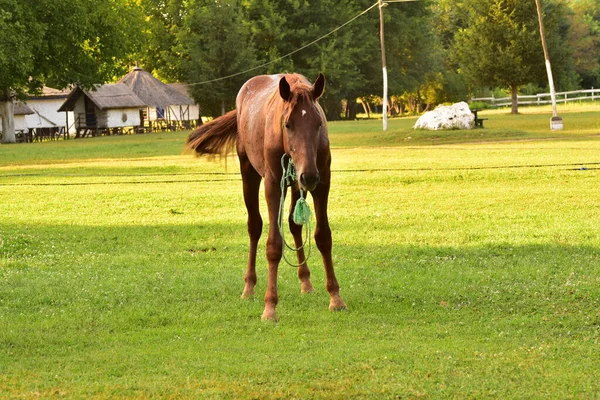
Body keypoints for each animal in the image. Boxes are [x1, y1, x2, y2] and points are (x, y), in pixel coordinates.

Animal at [188, 72, 346, 322]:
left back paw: (306, 281)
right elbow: (273, 245)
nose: (309, 175)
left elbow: (323, 237)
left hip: (295, 183)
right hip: (250, 172)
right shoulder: (273, 184)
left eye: (318, 123)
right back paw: (249, 287)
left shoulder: (322, 182)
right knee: (254, 226)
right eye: (288, 124)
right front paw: (270, 306)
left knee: (294, 225)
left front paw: (335, 297)